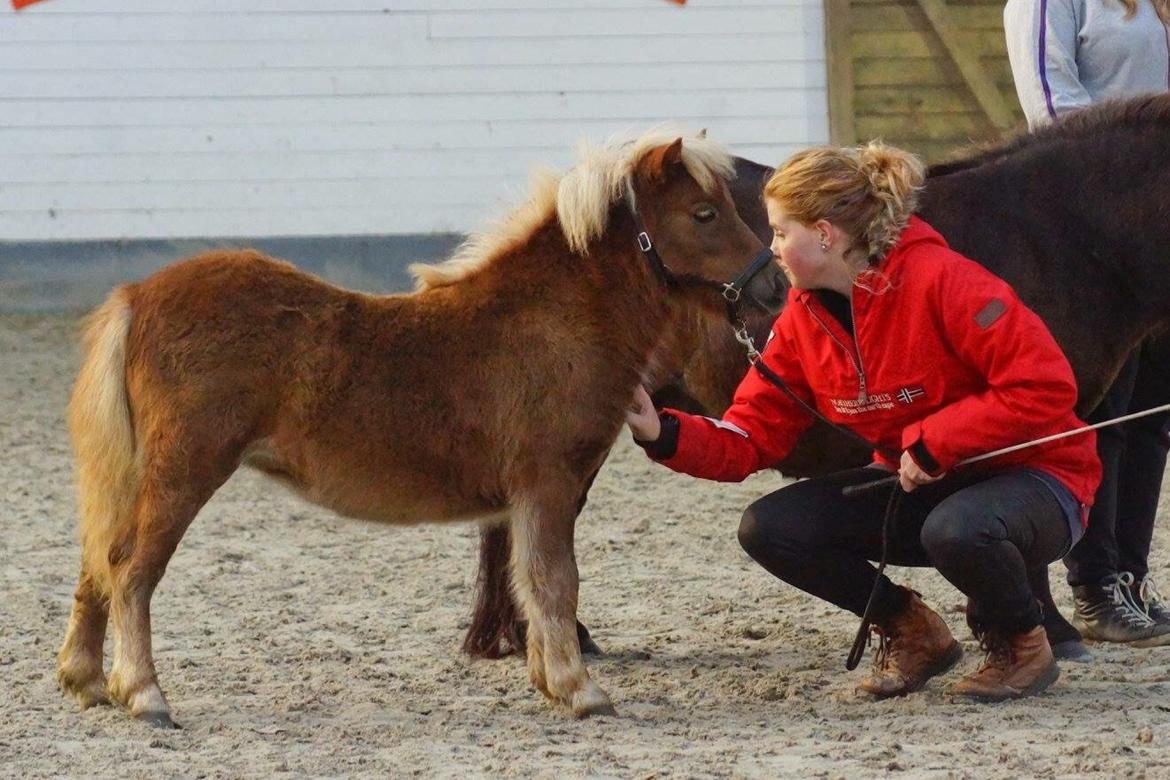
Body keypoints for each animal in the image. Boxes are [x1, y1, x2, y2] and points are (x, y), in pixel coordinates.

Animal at [61, 129, 776, 725]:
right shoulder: (548, 483)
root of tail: (135, 297)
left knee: (98, 560)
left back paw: (87, 680)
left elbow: (529, 581)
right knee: (129, 567)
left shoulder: (529, 497)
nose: (769, 282)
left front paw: (549, 680)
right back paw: (144, 694)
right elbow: (554, 581)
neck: (554, 319)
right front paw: (580, 690)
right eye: (704, 214)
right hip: (184, 470)